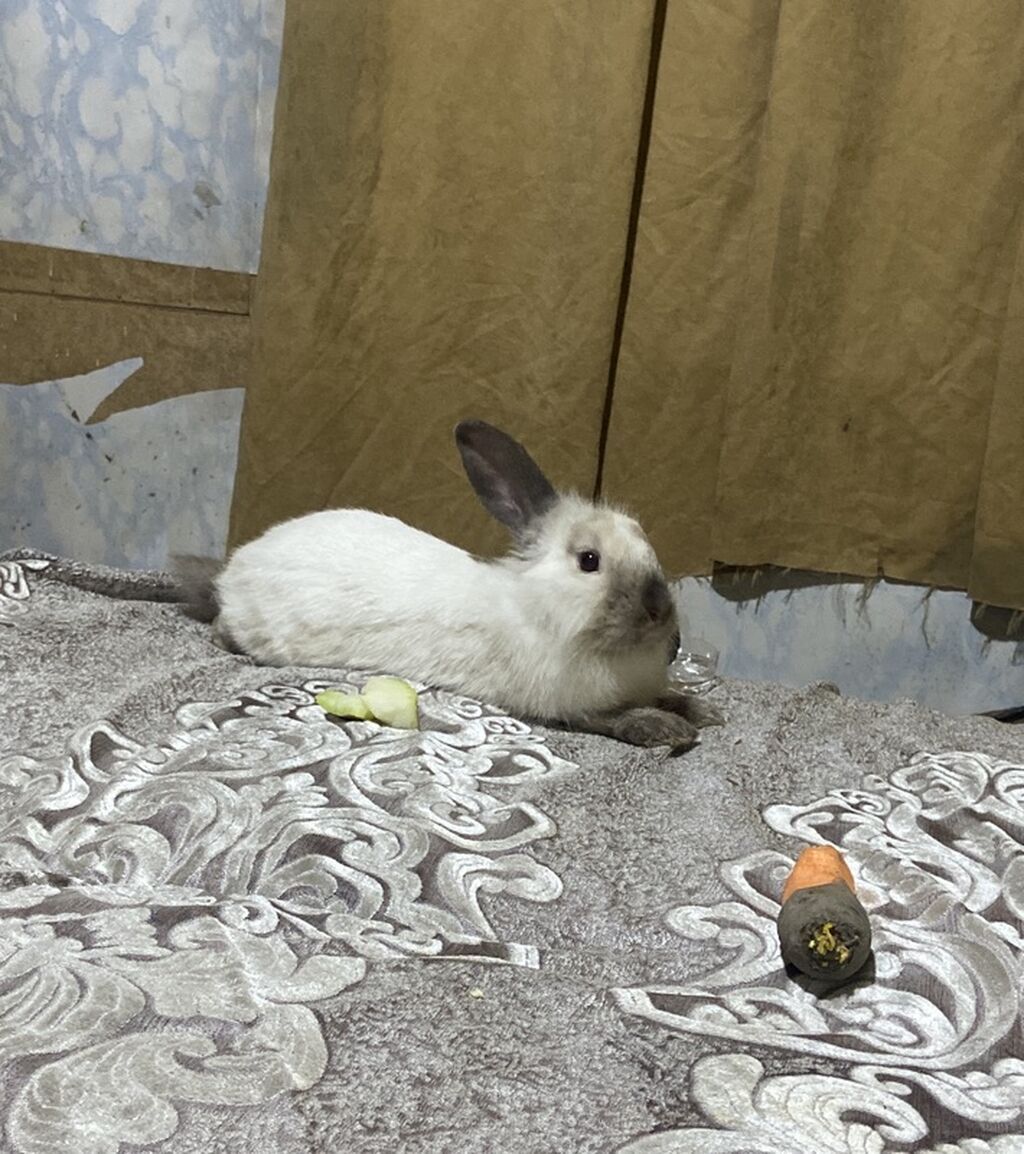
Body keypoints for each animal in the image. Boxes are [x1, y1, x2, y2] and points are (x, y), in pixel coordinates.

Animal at [177, 420, 723, 752]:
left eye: (644, 539)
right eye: (589, 561)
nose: (659, 611)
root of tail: (233, 570)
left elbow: (668, 694)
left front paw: (702, 709)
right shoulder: (568, 705)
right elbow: (615, 718)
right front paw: (669, 729)